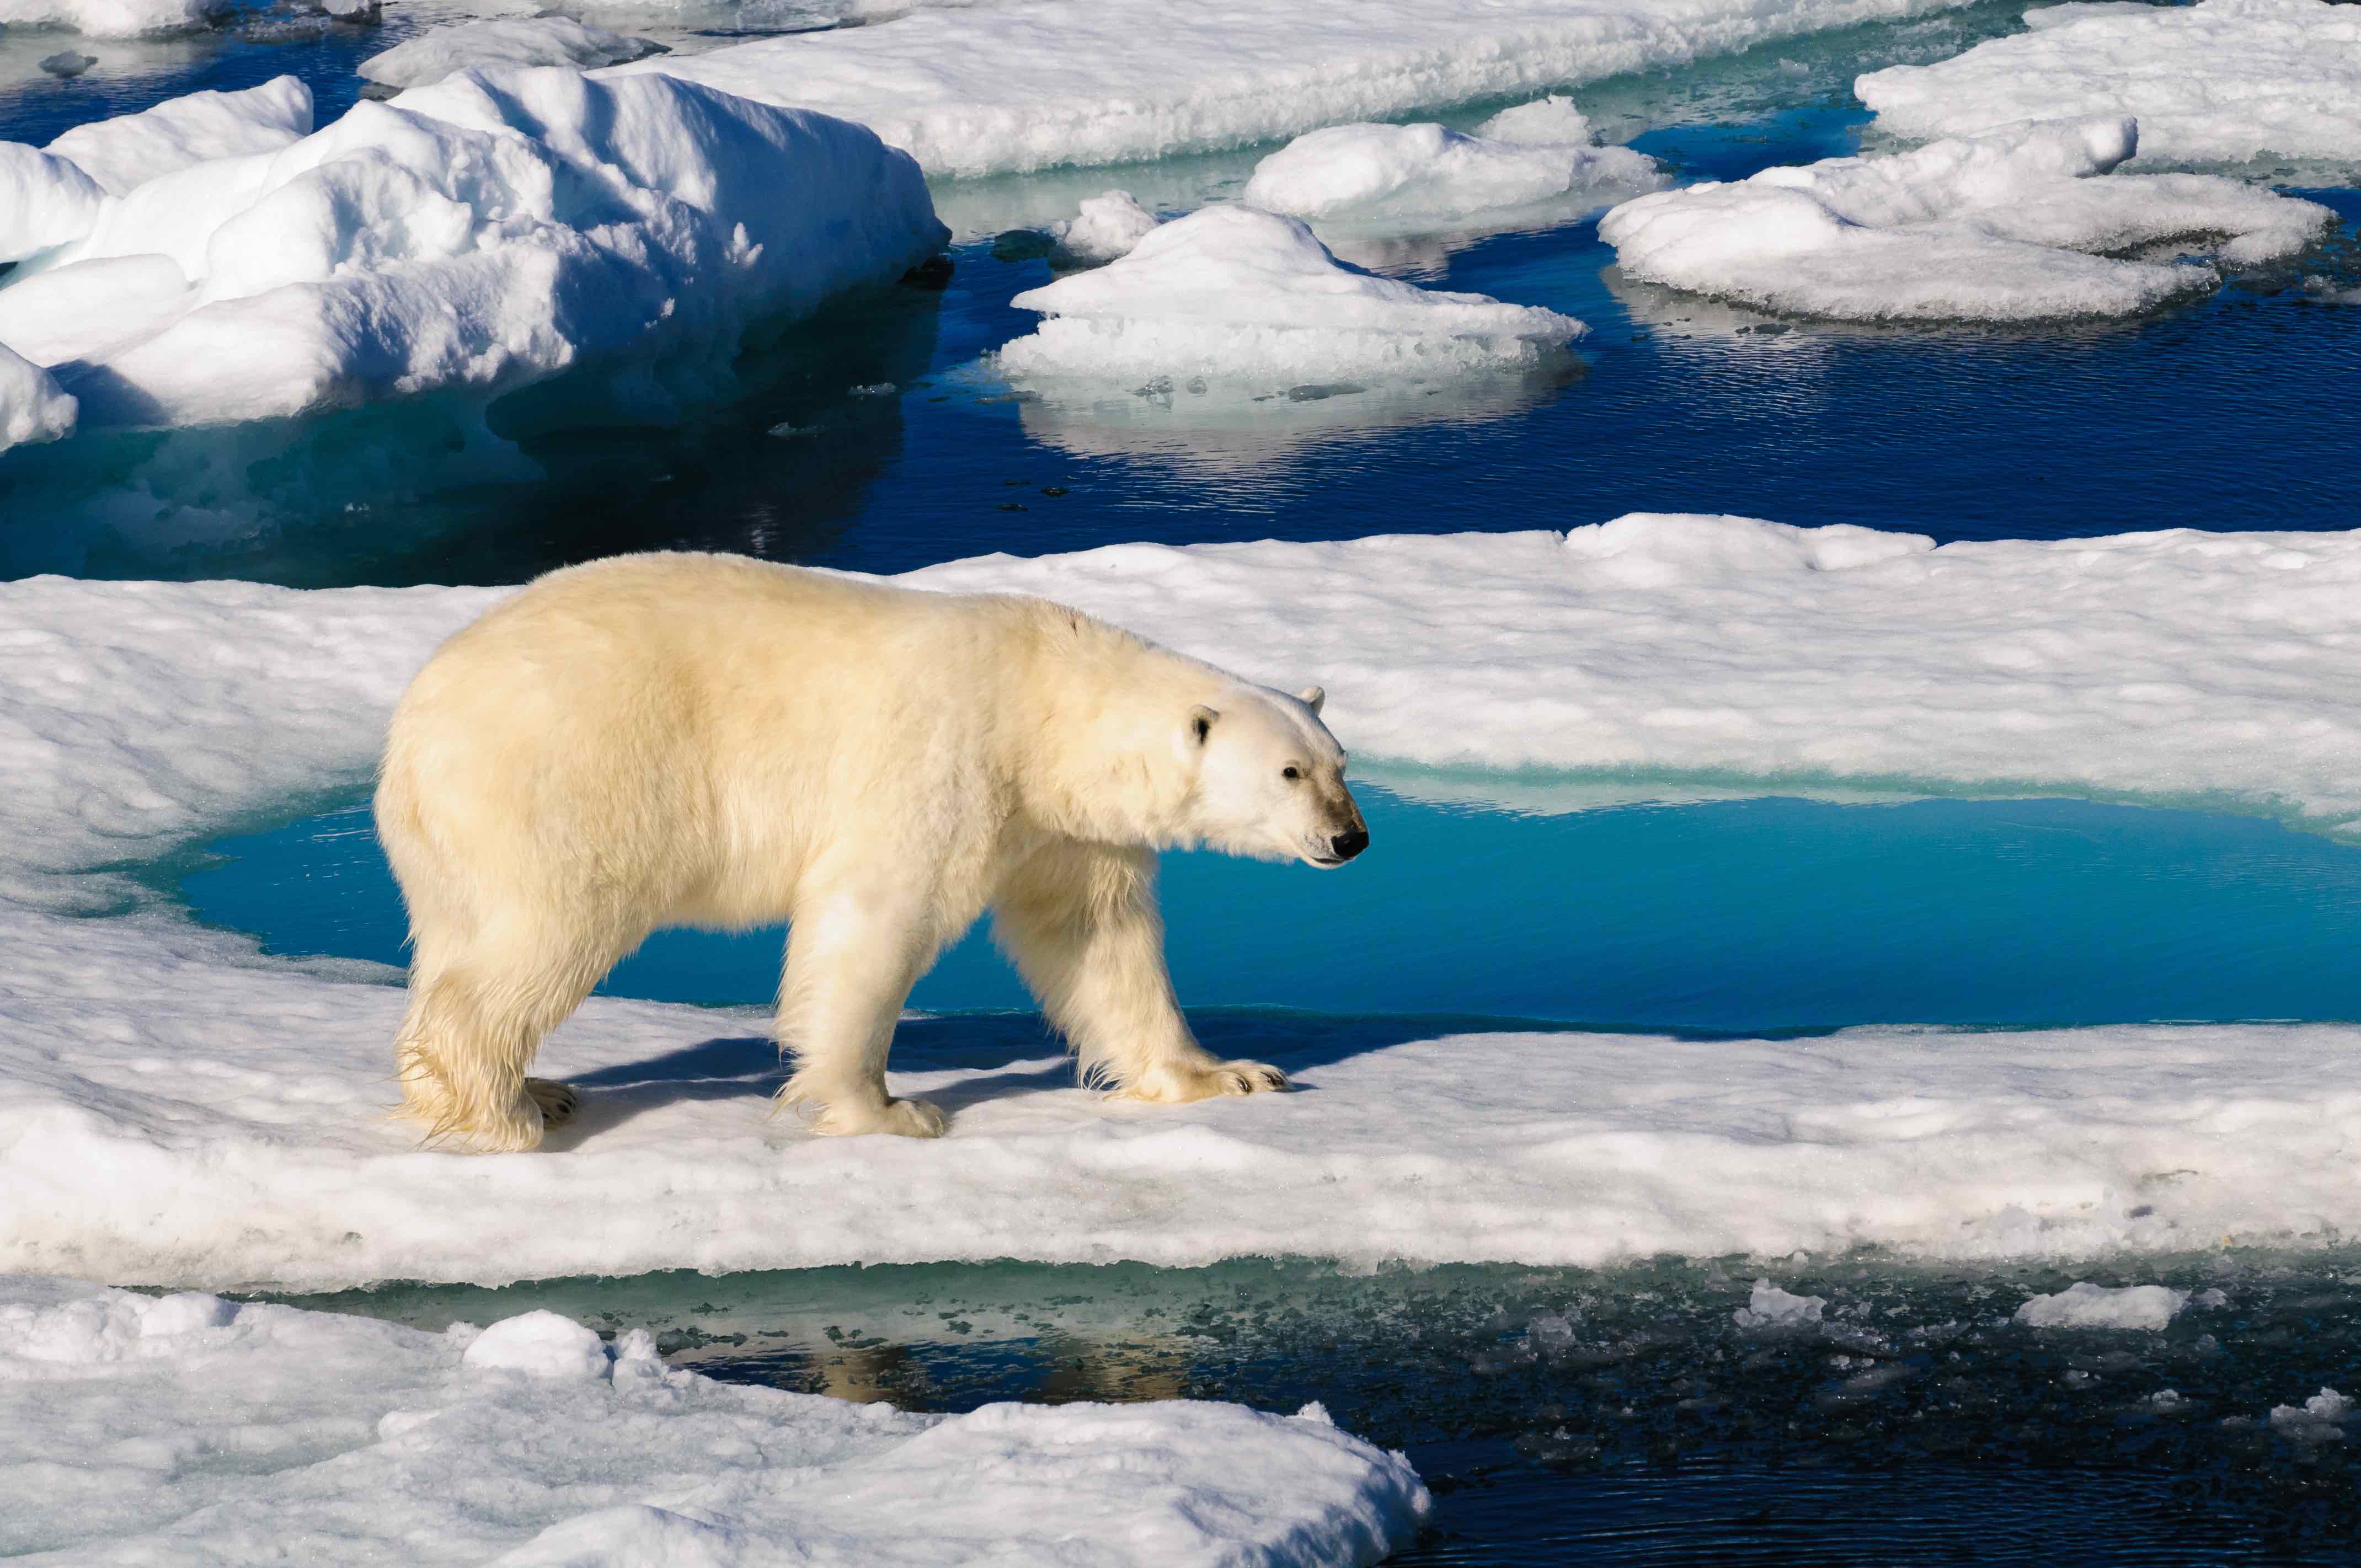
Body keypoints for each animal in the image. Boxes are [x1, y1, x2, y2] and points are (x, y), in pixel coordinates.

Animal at [377, 550, 1379, 1152]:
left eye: (1340, 763)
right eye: (1289, 771)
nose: (1352, 836)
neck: (1043, 705)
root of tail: (415, 718)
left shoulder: (1064, 826)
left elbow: (1098, 940)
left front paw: (1228, 1073)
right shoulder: (950, 758)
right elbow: (877, 916)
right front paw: (890, 1109)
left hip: (451, 839)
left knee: (459, 933)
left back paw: (531, 1088)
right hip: (566, 776)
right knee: (546, 928)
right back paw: (509, 1110)